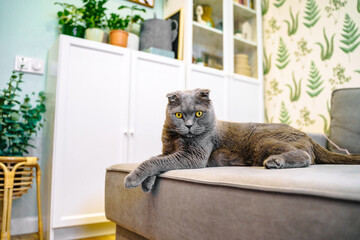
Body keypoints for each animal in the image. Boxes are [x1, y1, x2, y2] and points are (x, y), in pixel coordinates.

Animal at [124, 89, 360, 192]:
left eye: (199, 114)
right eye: (179, 115)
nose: (189, 125)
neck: (175, 139)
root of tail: (307, 135)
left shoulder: (193, 157)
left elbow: (154, 161)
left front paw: (132, 179)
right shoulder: (167, 151)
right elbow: (156, 159)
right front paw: (147, 183)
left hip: (262, 140)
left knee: (305, 156)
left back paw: (275, 162)